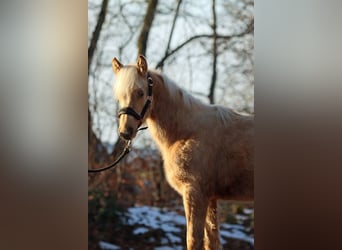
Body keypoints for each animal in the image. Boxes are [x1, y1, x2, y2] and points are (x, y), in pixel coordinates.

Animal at [112, 55, 254, 249]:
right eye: (118, 96)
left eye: (140, 92)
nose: (125, 132)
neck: (186, 132)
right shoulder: (210, 198)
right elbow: (212, 241)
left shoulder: (194, 193)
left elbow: (193, 240)